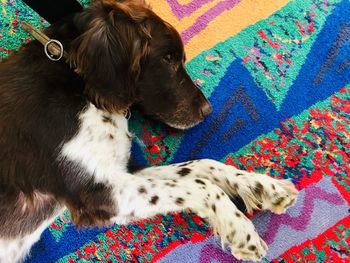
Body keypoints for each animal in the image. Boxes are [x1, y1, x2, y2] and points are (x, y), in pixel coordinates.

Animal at [0, 0, 300, 262]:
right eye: (167, 58)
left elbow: (202, 166)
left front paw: (265, 187)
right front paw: (239, 230)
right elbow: (200, 185)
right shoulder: (98, 192)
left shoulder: (122, 173)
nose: (207, 110)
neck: (73, 77)